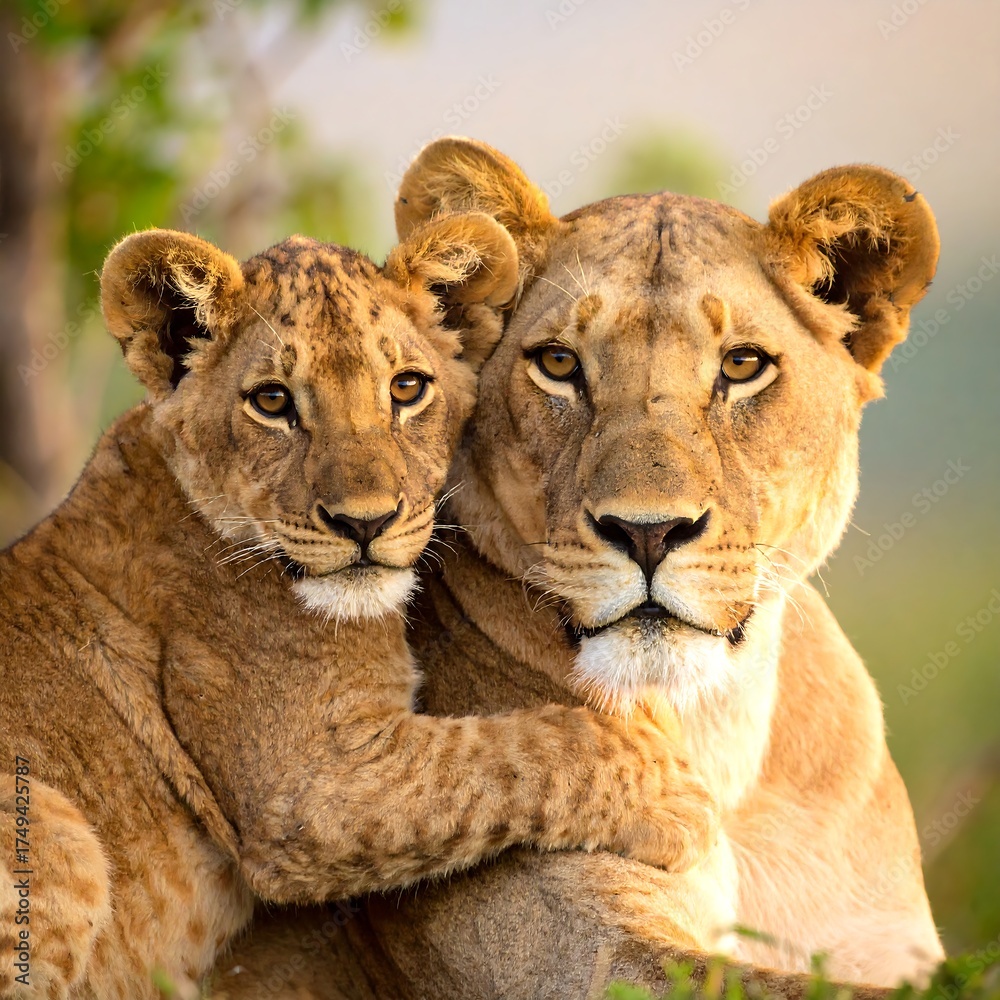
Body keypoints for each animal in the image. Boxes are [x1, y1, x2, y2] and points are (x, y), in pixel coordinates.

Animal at [0, 213, 716, 998]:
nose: (365, 523)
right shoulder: (309, 787)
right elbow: (521, 748)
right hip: (57, 829)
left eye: (406, 388)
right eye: (273, 402)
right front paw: (681, 801)